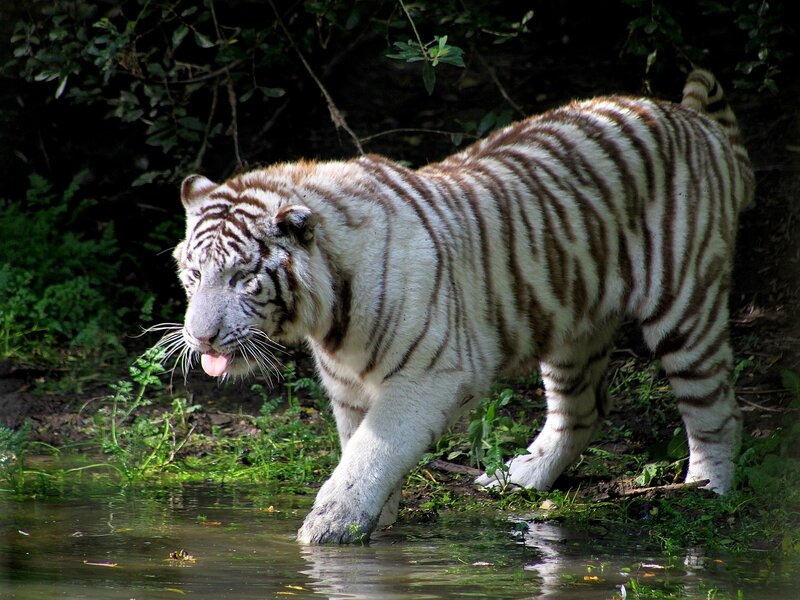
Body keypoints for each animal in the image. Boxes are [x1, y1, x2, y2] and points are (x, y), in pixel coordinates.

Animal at [165, 69, 754, 544]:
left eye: (243, 279)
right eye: (194, 275)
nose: (201, 337)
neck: (330, 312)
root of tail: (689, 116)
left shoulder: (431, 374)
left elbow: (370, 454)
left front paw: (330, 528)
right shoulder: (349, 390)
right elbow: (360, 448)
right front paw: (376, 520)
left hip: (685, 307)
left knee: (716, 409)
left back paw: (707, 489)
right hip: (573, 325)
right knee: (582, 410)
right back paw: (521, 478)